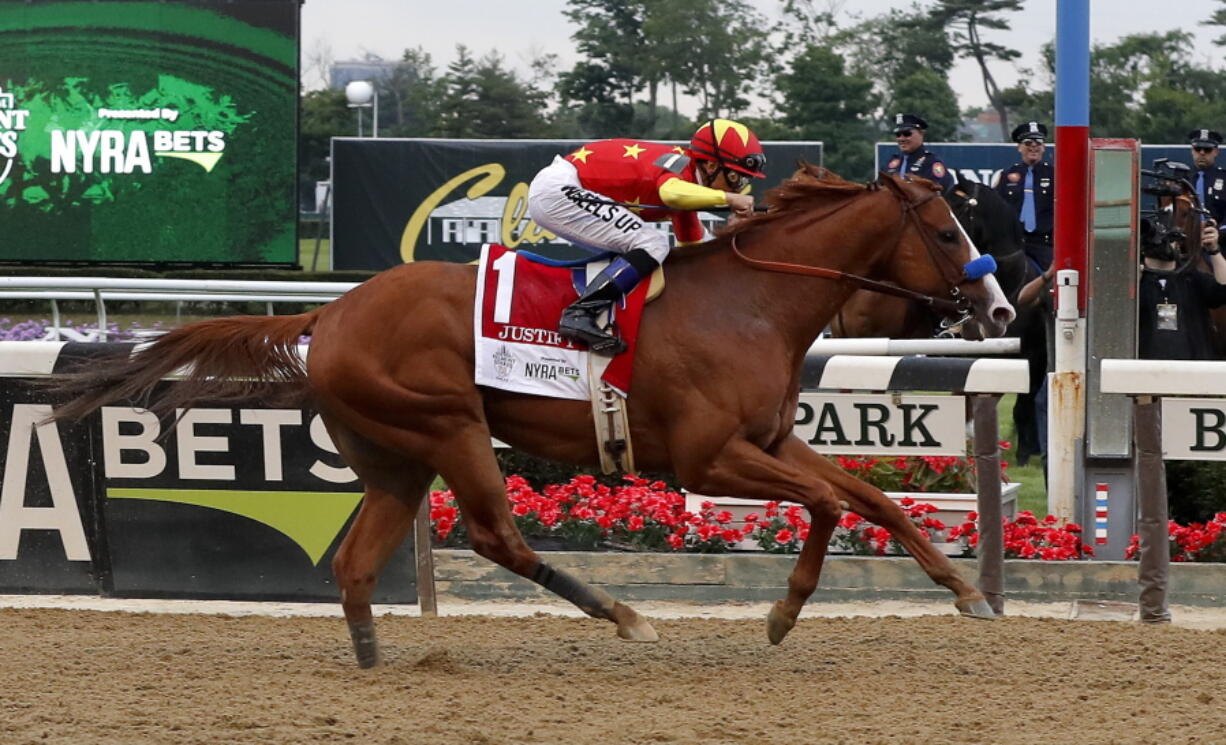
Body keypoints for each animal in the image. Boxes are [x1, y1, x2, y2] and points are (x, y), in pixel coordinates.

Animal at [52, 170, 1010, 671]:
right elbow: (827, 504)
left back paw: (372, 657)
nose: (1000, 309)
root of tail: (332, 311)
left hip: (394, 457)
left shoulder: (772, 438)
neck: (749, 301)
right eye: (949, 232)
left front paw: (967, 593)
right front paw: (781, 612)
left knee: (358, 563)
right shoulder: (707, 459)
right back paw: (622, 613)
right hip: (448, 426)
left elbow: (872, 500)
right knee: (496, 536)